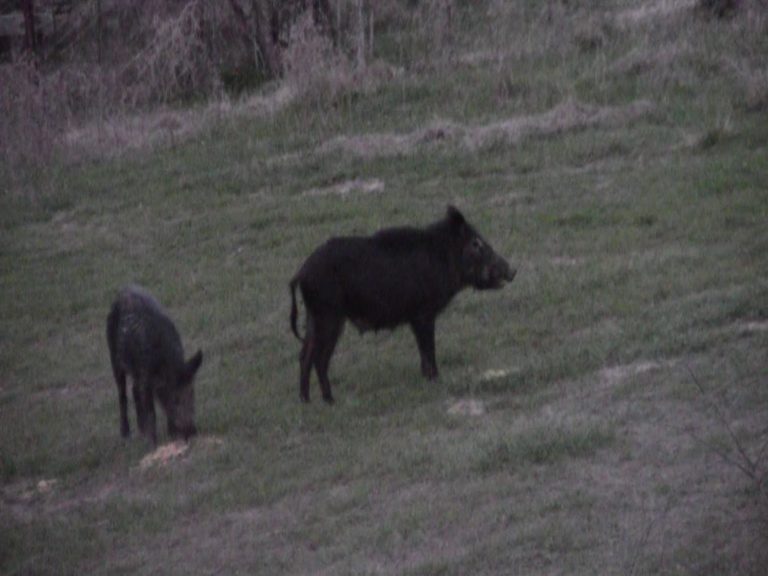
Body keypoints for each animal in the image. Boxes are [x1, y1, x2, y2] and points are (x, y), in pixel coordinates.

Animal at [106, 285, 203, 445]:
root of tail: (122, 291)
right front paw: (153, 443)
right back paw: (126, 434)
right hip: (114, 357)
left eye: (192, 392)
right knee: (123, 394)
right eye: (175, 398)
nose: (191, 431)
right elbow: (151, 412)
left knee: (134, 390)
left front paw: (171, 435)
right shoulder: (146, 376)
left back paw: (140, 430)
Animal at [289, 205, 516, 404]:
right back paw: (330, 401)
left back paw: (306, 401)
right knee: (319, 358)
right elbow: (428, 348)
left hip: (314, 317)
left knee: (304, 355)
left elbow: (424, 351)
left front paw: (428, 378)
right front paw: (435, 380)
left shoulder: (417, 317)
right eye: (476, 243)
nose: (512, 271)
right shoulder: (423, 313)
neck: (442, 257)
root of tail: (301, 272)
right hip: (329, 315)